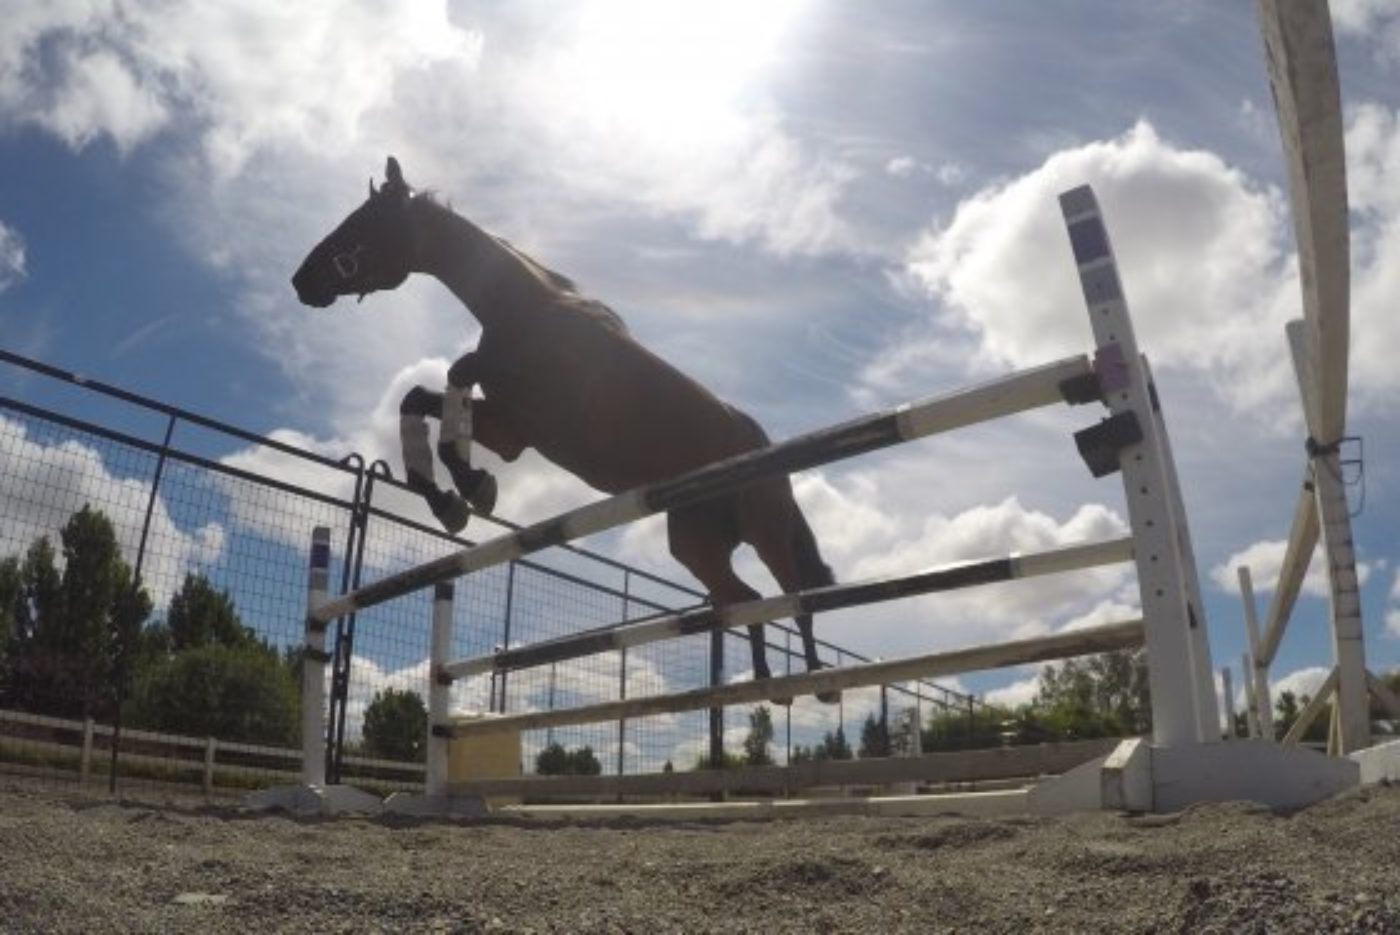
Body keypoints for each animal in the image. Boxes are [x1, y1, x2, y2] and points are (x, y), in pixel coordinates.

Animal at [291, 158, 834, 699]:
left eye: (366, 223)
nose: (301, 280)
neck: (527, 308)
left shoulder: (542, 410)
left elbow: (457, 376)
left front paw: (468, 488)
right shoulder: (512, 430)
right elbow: (420, 399)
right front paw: (450, 499)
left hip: (764, 530)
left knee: (796, 595)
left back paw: (818, 680)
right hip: (696, 543)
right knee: (747, 597)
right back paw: (766, 682)